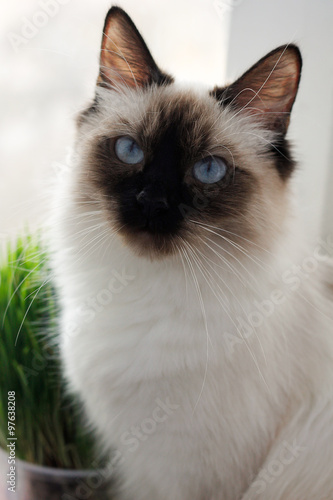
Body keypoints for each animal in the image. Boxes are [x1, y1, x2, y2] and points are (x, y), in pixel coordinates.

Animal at [51, 4, 332, 500]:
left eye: (208, 170)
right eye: (130, 150)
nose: (152, 203)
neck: (146, 293)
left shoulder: (188, 479)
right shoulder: (139, 468)